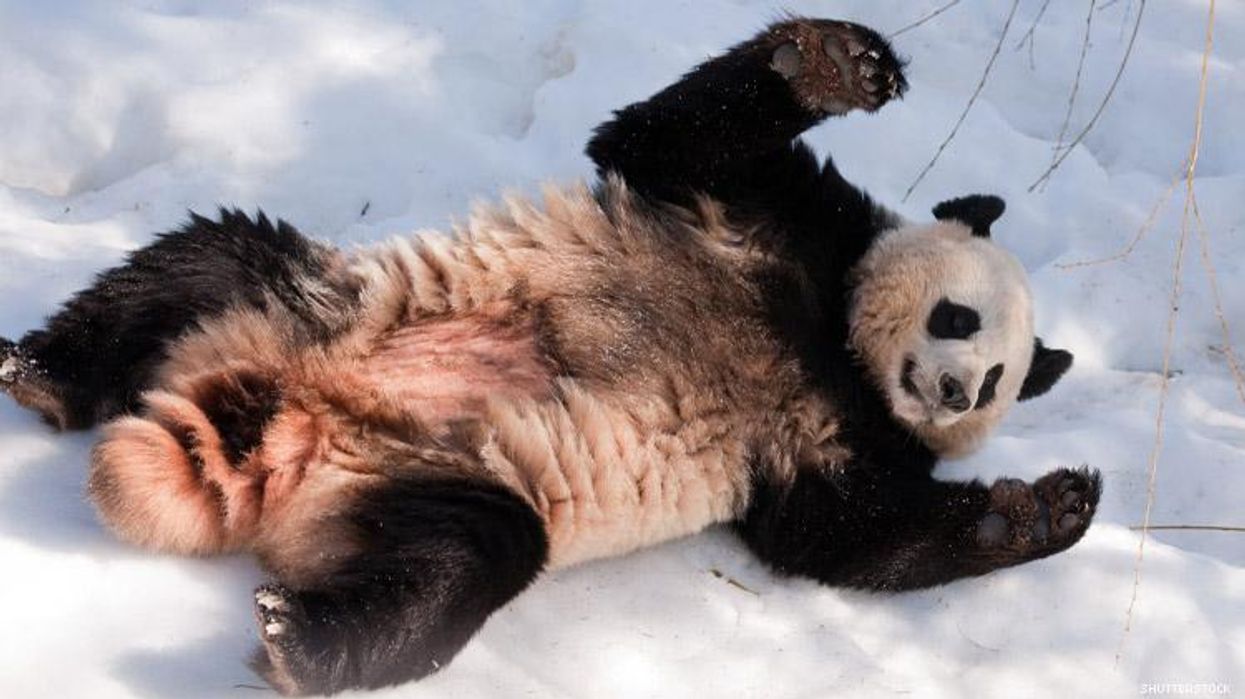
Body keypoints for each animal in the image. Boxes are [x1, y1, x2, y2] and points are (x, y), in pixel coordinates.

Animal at [0, 17, 1098, 696]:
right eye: (959, 318)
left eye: (996, 382)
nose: (949, 389)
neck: (835, 345)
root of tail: (279, 421)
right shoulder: (768, 217)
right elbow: (656, 137)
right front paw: (840, 64)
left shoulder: (834, 445)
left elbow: (845, 536)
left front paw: (1043, 508)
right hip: (309, 308)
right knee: (208, 259)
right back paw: (44, 376)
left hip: (409, 480)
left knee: (468, 554)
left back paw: (299, 642)